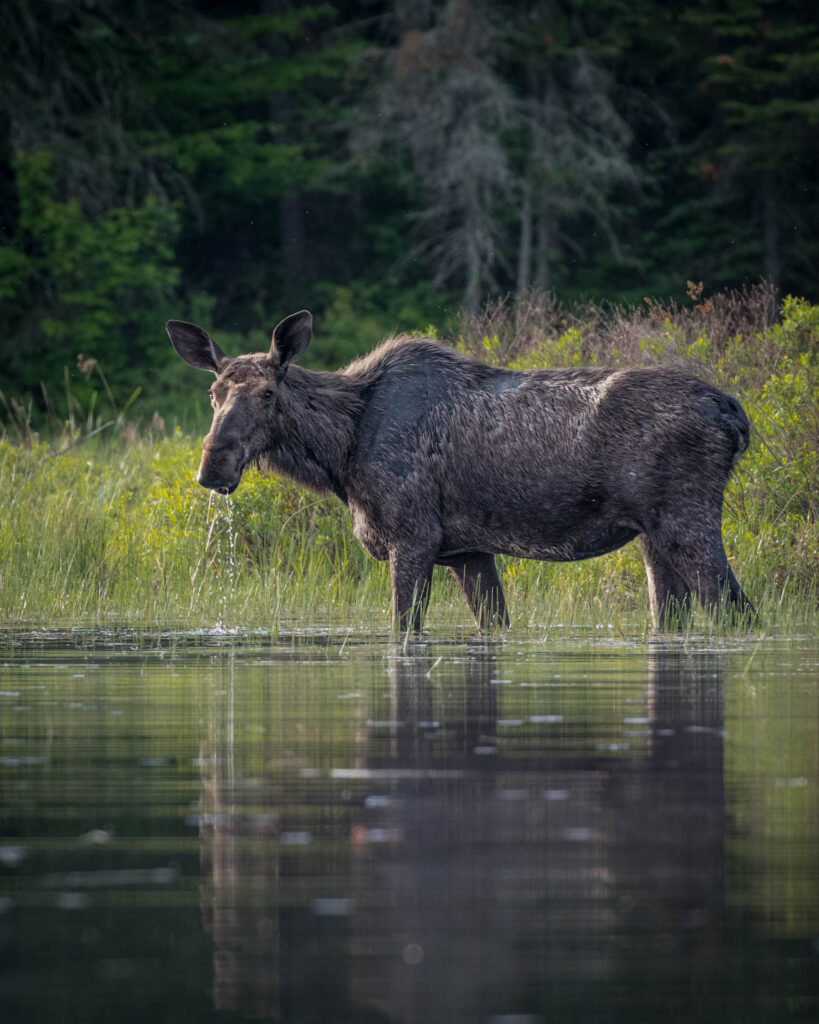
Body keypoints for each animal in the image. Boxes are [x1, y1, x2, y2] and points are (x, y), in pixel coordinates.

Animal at [165, 311, 753, 630]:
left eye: (267, 393)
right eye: (213, 393)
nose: (213, 465)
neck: (339, 454)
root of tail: (731, 412)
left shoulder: (414, 537)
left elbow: (403, 631)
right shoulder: (467, 552)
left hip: (687, 522)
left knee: (738, 611)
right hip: (653, 537)